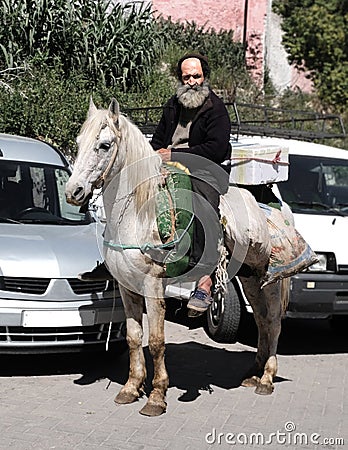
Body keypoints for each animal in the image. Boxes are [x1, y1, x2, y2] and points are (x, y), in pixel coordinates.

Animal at [65, 98, 288, 418]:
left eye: (105, 145)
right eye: (79, 142)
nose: (74, 191)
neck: (138, 214)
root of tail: (264, 204)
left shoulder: (153, 286)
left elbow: (157, 341)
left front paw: (157, 396)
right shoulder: (127, 288)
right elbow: (134, 337)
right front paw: (131, 388)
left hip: (267, 278)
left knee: (272, 322)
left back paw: (267, 378)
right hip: (249, 279)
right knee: (260, 320)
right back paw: (253, 374)